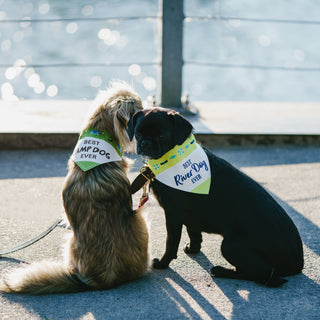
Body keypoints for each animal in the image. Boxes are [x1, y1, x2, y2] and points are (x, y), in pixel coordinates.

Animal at [129, 107, 304, 288]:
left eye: (161, 136)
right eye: (138, 134)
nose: (145, 143)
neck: (172, 158)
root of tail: (298, 262)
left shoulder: (173, 215)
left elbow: (171, 242)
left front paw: (163, 263)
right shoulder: (190, 215)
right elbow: (193, 232)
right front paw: (193, 249)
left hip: (230, 245)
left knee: (263, 274)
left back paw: (221, 271)